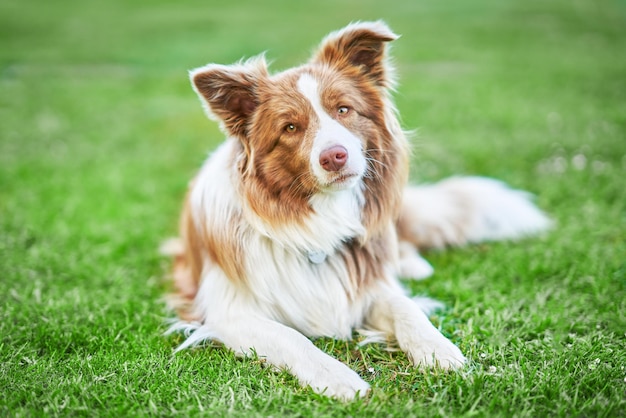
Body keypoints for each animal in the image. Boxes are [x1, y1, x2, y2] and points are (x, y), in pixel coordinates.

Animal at [163, 21, 548, 400]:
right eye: (290, 127)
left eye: (344, 109)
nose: (334, 156)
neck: (320, 221)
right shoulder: (229, 313)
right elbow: (292, 338)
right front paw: (338, 378)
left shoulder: (369, 284)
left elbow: (406, 307)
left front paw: (438, 350)